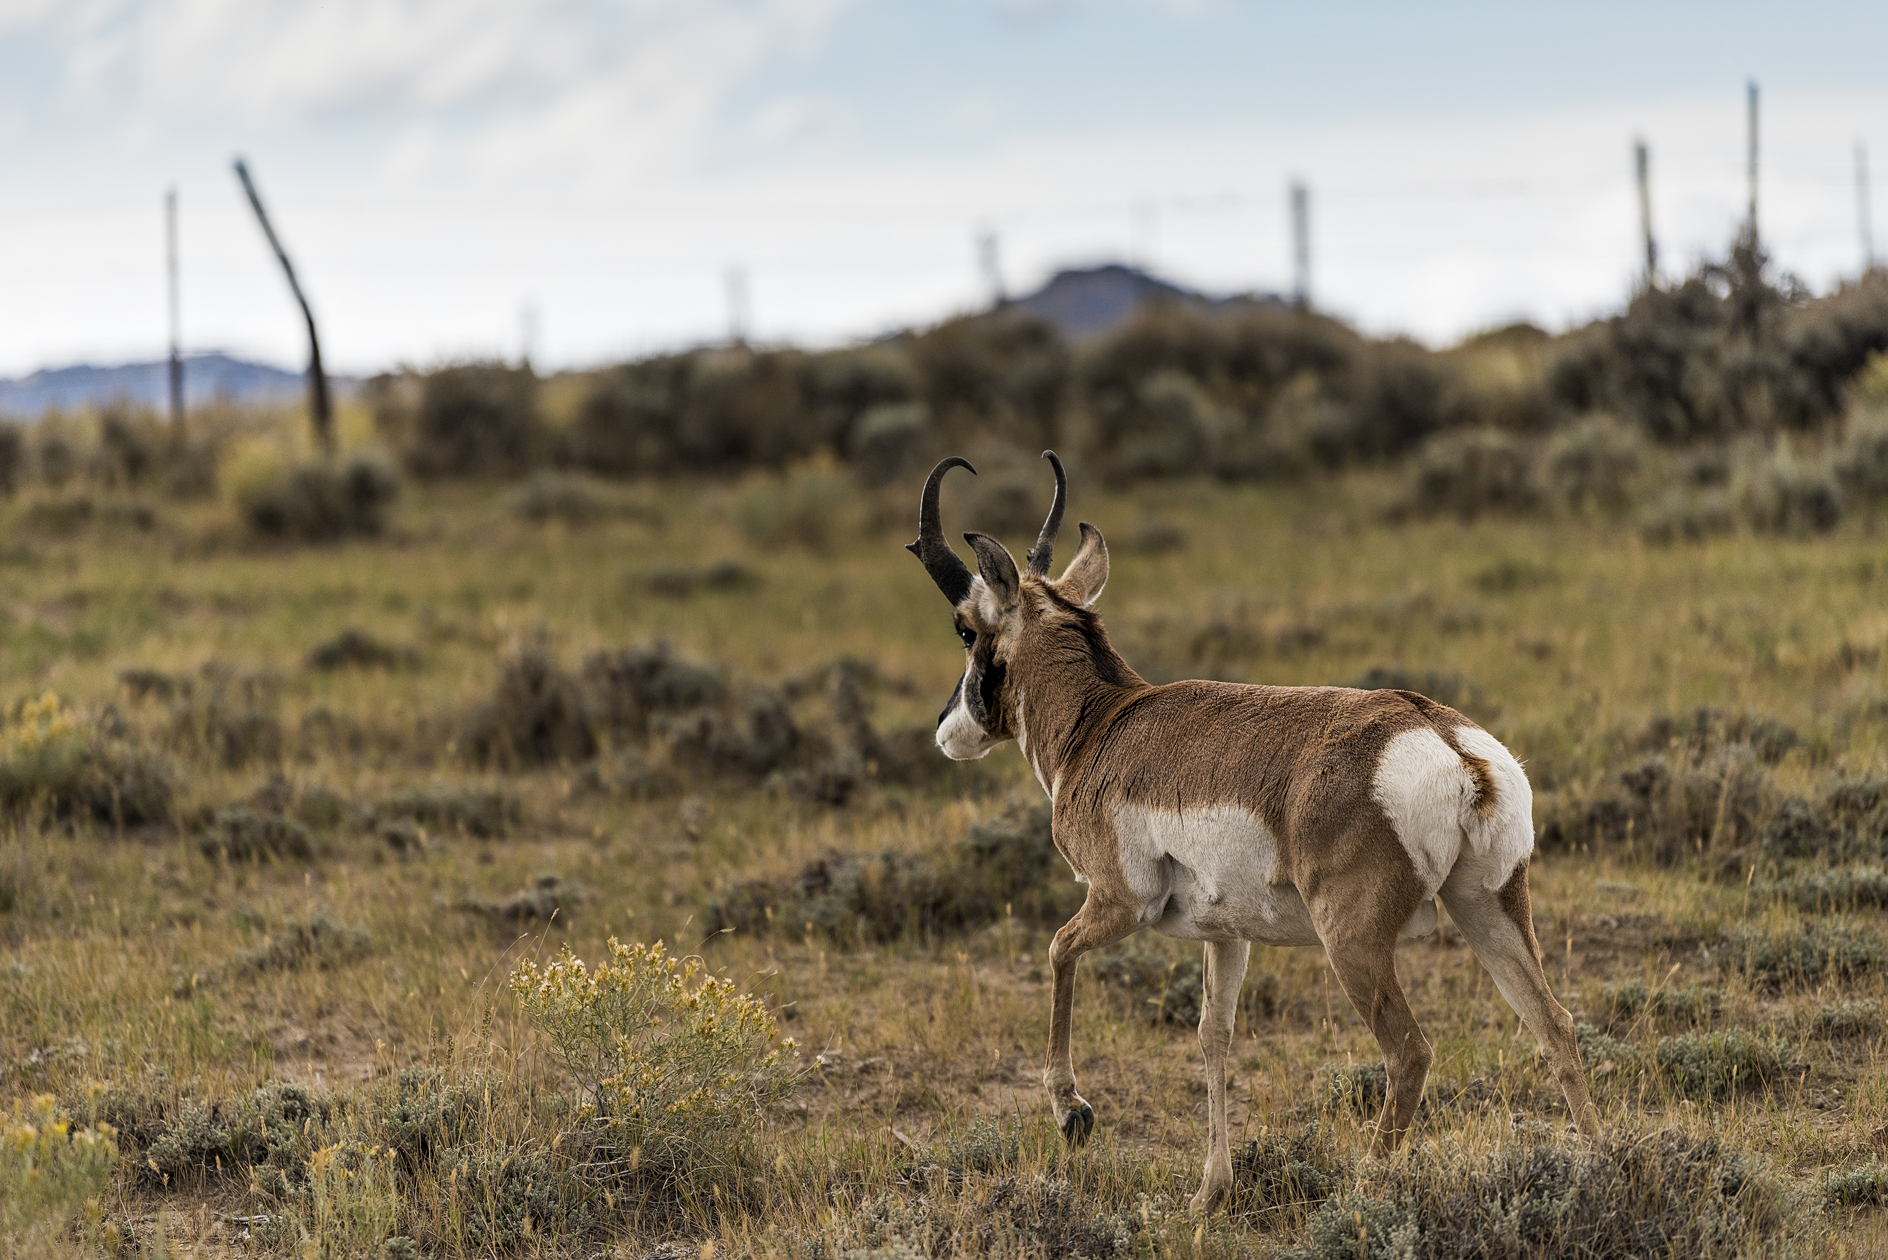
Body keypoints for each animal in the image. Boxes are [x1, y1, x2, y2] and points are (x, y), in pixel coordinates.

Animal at [907, 452, 1598, 1214]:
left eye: (965, 629)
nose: (945, 731)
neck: (1105, 721)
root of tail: (1445, 739)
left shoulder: (1118, 904)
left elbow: (1058, 951)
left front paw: (1074, 1115)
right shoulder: (1225, 935)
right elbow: (1214, 1033)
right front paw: (1209, 1191)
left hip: (1353, 944)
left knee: (1410, 1051)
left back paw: (1361, 1188)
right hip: (1488, 909)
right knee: (1555, 1024)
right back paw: (1602, 1161)